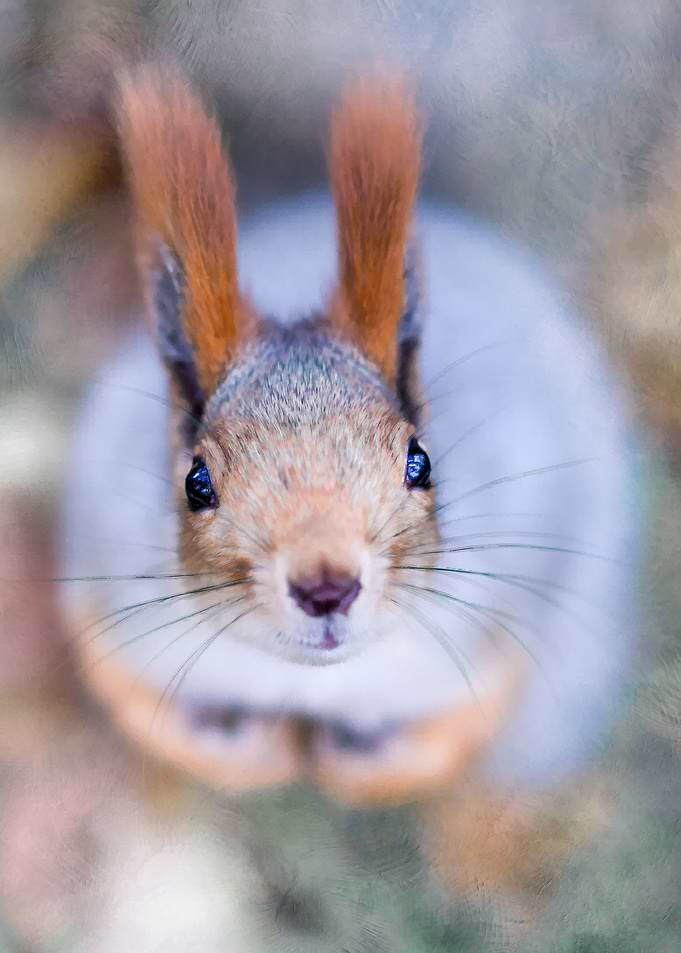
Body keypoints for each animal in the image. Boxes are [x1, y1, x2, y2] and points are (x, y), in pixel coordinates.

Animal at [59, 63, 641, 807]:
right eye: (196, 482)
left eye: (419, 461)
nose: (326, 587)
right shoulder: (105, 597)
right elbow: (133, 702)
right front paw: (252, 751)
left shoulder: (509, 611)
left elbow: (463, 724)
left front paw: (357, 761)